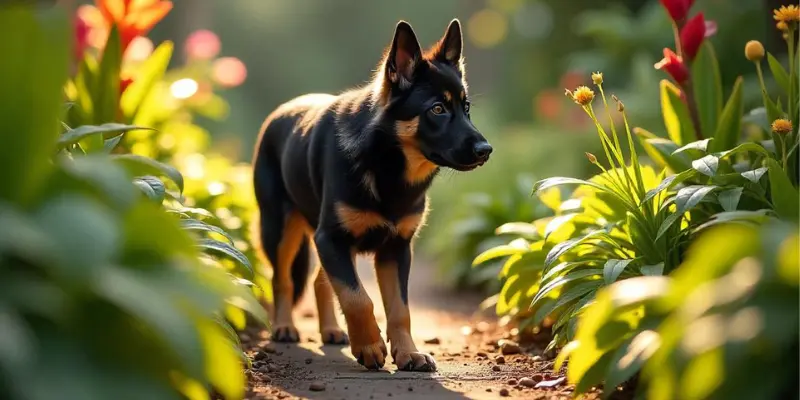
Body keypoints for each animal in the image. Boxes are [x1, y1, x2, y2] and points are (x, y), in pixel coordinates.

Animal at [253, 18, 490, 372]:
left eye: (466, 107)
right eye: (437, 109)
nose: (485, 150)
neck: (387, 162)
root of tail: (282, 110)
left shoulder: (396, 249)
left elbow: (399, 309)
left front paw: (408, 353)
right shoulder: (332, 238)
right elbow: (357, 297)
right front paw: (369, 346)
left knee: (320, 281)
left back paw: (331, 330)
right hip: (280, 230)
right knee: (282, 280)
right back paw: (284, 326)